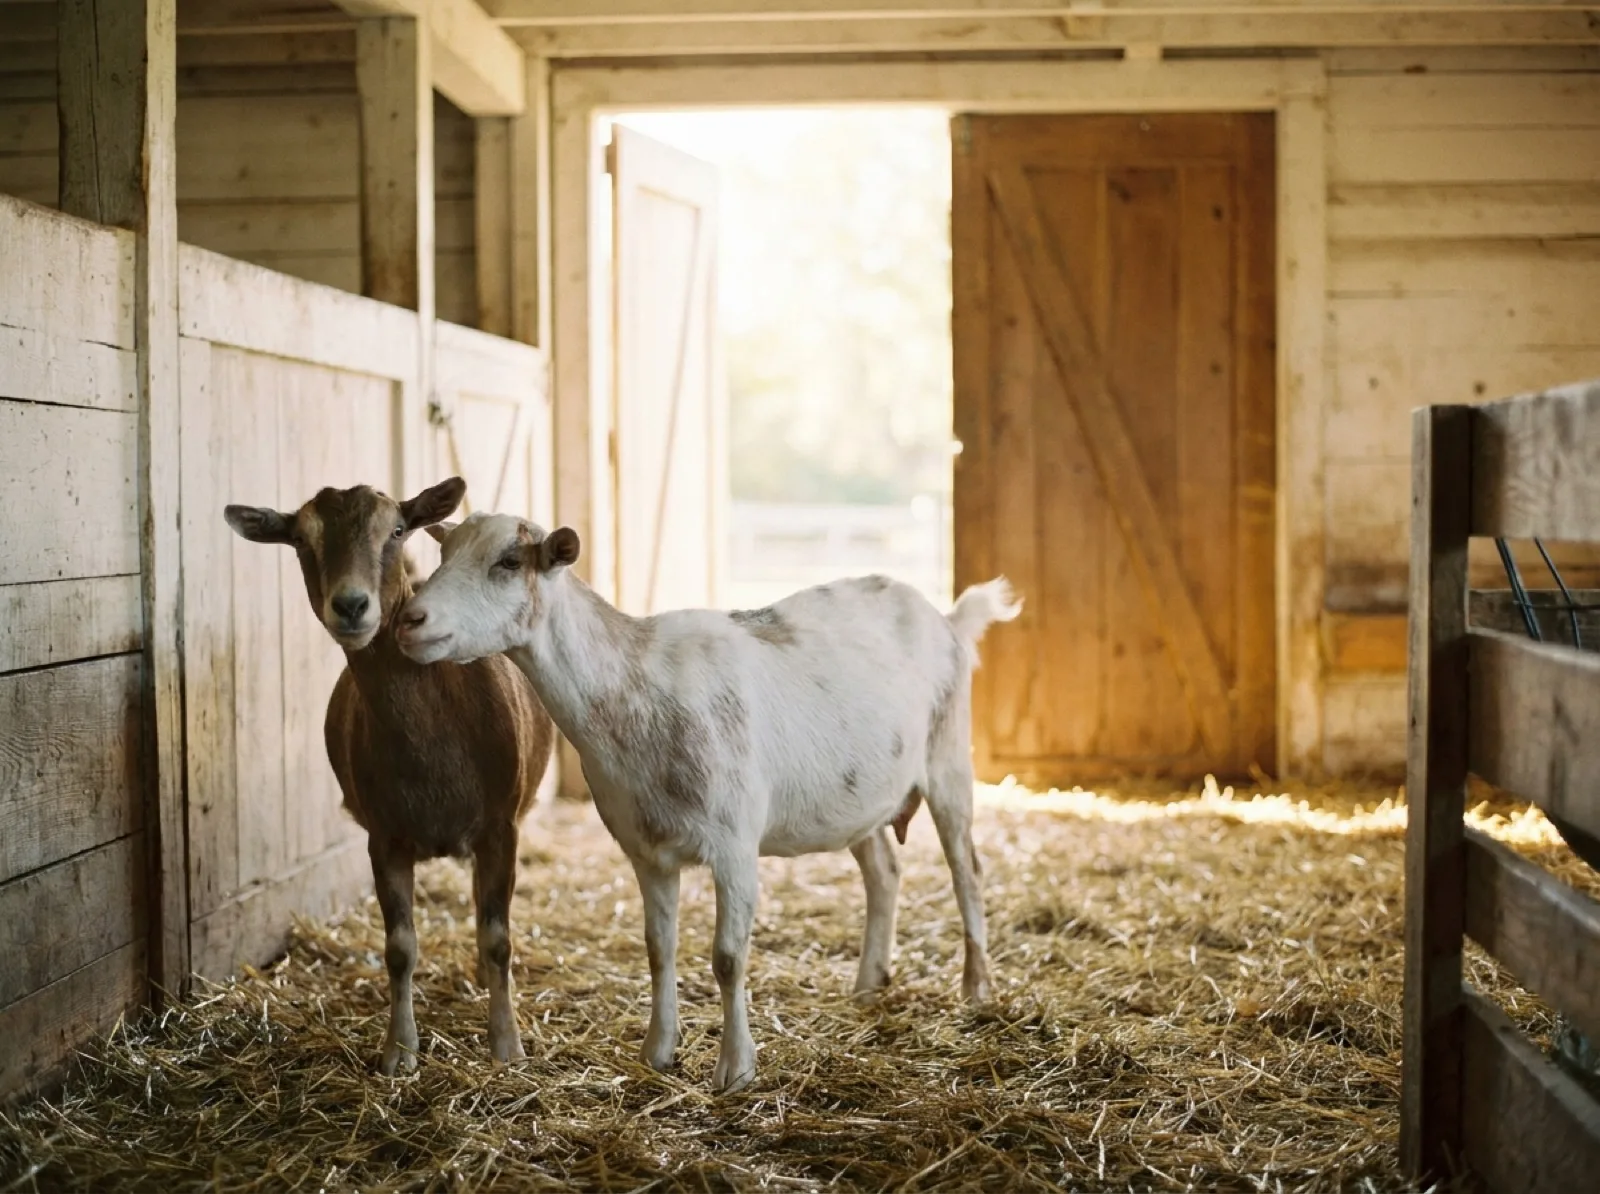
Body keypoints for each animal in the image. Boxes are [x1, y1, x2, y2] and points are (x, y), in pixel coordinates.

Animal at [223, 479, 555, 1075]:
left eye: (397, 530)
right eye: (300, 539)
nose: (351, 606)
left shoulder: (502, 827)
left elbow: (498, 938)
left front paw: (506, 1045)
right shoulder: (384, 836)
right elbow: (400, 948)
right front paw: (399, 1052)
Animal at [394, 513, 1021, 1092]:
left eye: (508, 561)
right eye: (444, 551)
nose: (410, 620)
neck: (633, 688)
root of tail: (947, 619)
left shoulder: (735, 844)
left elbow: (727, 957)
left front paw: (735, 1069)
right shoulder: (646, 849)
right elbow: (658, 948)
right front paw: (658, 1051)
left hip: (948, 757)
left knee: (968, 870)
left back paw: (976, 987)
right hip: (859, 795)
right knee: (884, 872)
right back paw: (869, 983)